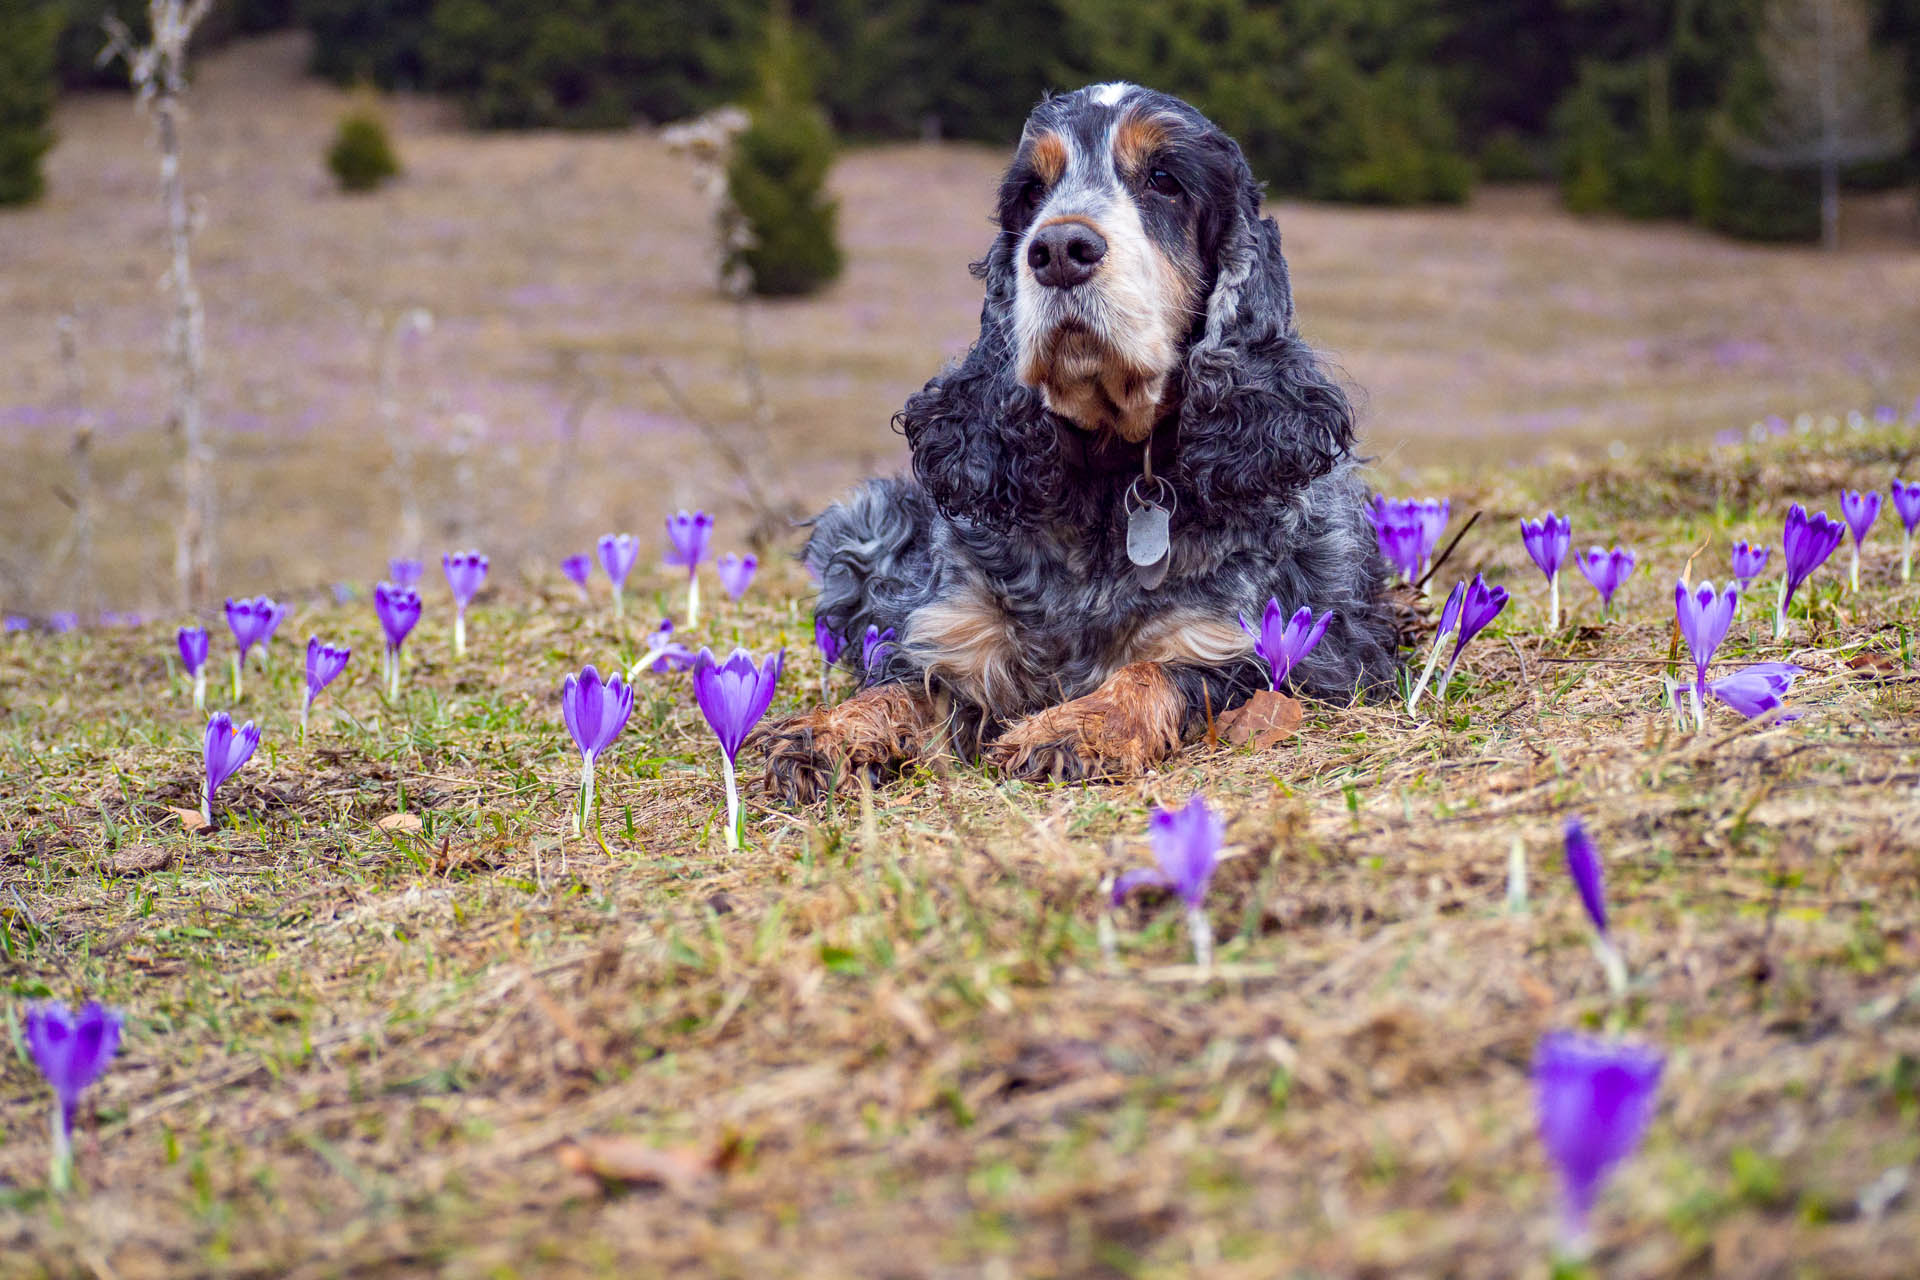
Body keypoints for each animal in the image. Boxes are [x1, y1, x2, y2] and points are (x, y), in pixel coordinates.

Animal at [756, 82, 1405, 802]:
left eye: (1163, 179)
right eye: (1031, 192)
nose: (1060, 249)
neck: (1114, 481)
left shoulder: (1279, 652)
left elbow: (1157, 671)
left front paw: (1074, 728)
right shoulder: (948, 635)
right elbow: (897, 682)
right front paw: (825, 733)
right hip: (862, 523)